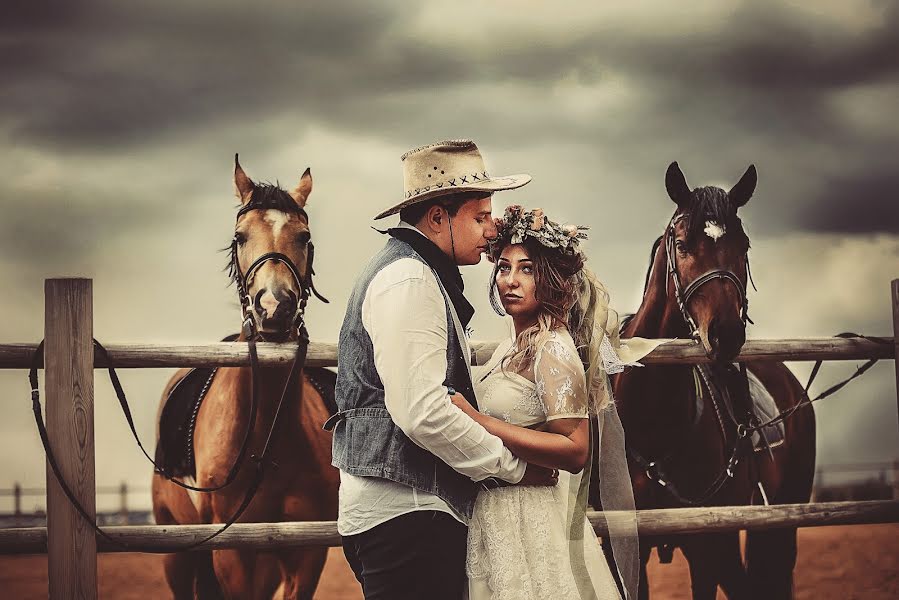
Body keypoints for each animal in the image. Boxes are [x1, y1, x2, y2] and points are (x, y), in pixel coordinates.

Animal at [153, 157, 340, 596]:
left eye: (304, 237)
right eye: (240, 237)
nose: (274, 307)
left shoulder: (307, 553)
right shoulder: (233, 554)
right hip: (176, 551)